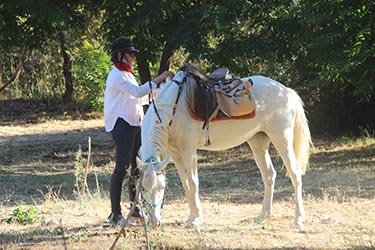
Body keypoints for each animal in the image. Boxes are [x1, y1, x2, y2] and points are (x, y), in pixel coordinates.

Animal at [137, 65, 312, 230]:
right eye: (142, 189)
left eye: (161, 187)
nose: (154, 222)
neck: (173, 108)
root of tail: (287, 92)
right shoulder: (176, 153)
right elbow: (186, 185)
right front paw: (191, 218)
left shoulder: (189, 151)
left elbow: (193, 184)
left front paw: (195, 220)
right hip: (258, 142)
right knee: (269, 175)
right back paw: (263, 215)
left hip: (282, 139)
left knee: (295, 173)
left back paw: (298, 220)